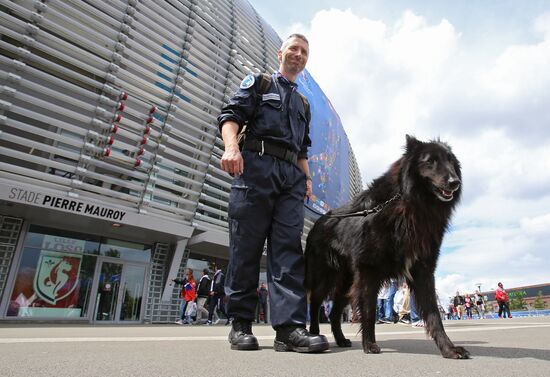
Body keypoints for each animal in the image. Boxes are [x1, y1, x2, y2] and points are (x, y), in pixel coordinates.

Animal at [306, 134, 470, 358]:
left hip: (347, 281)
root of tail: (318, 221)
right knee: (315, 302)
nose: (455, 182)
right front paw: (369, 344)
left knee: (335, 312)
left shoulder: (423, 271)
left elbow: (434, 315)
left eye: (451, 161)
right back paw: (315, 335)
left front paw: (449, 348)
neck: (409, 203)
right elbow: (368, 311)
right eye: (430, 161)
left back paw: (340, 339)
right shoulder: (368, 270)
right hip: (326, 275)